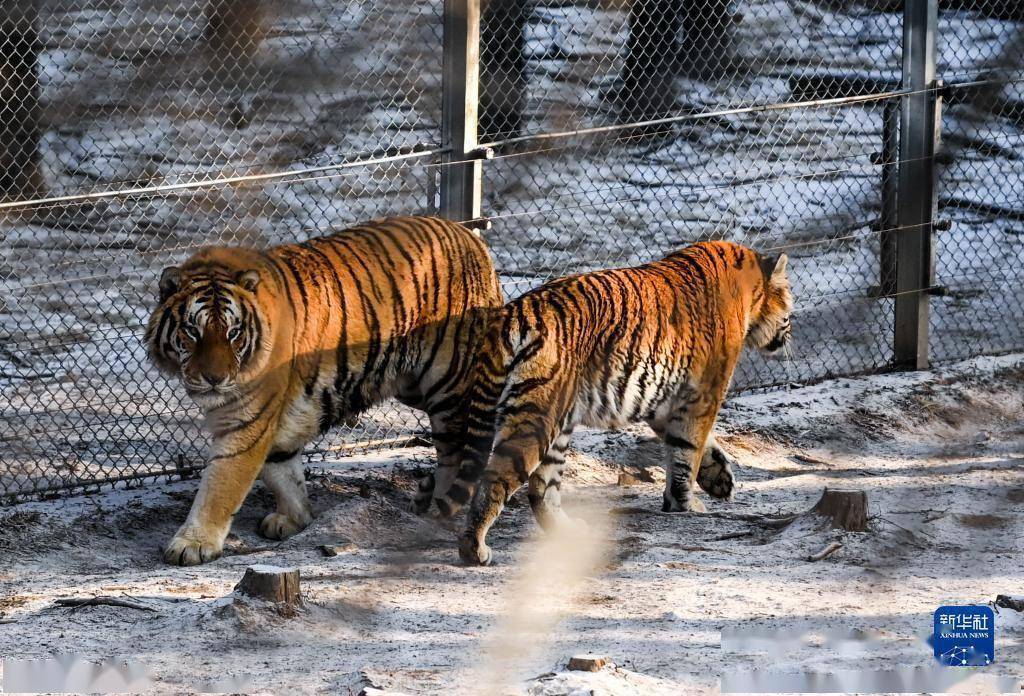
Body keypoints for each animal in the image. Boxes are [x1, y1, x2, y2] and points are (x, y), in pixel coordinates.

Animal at [147, 215, 503, 564]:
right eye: (192, 330)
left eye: (233, 332)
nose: (214, 378)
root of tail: (472, 239)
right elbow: (283, 470)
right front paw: (295, 519)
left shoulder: (246, 422)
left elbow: (220, 485)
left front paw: (192, 544)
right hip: (414, 385)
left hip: (450, 385)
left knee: (460, 451)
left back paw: (444, 511)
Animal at [436, 240, 794, 564]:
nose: (789, 335)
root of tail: (514, 311)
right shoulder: (703, 394)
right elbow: (687, 451)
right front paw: (685, 503)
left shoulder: (665, 402)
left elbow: (697, 445)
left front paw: (719, 479)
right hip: (537, 419)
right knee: (495, 480)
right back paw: (475, 550)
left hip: (556, 421)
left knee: (541, 489)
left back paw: (567, 532)